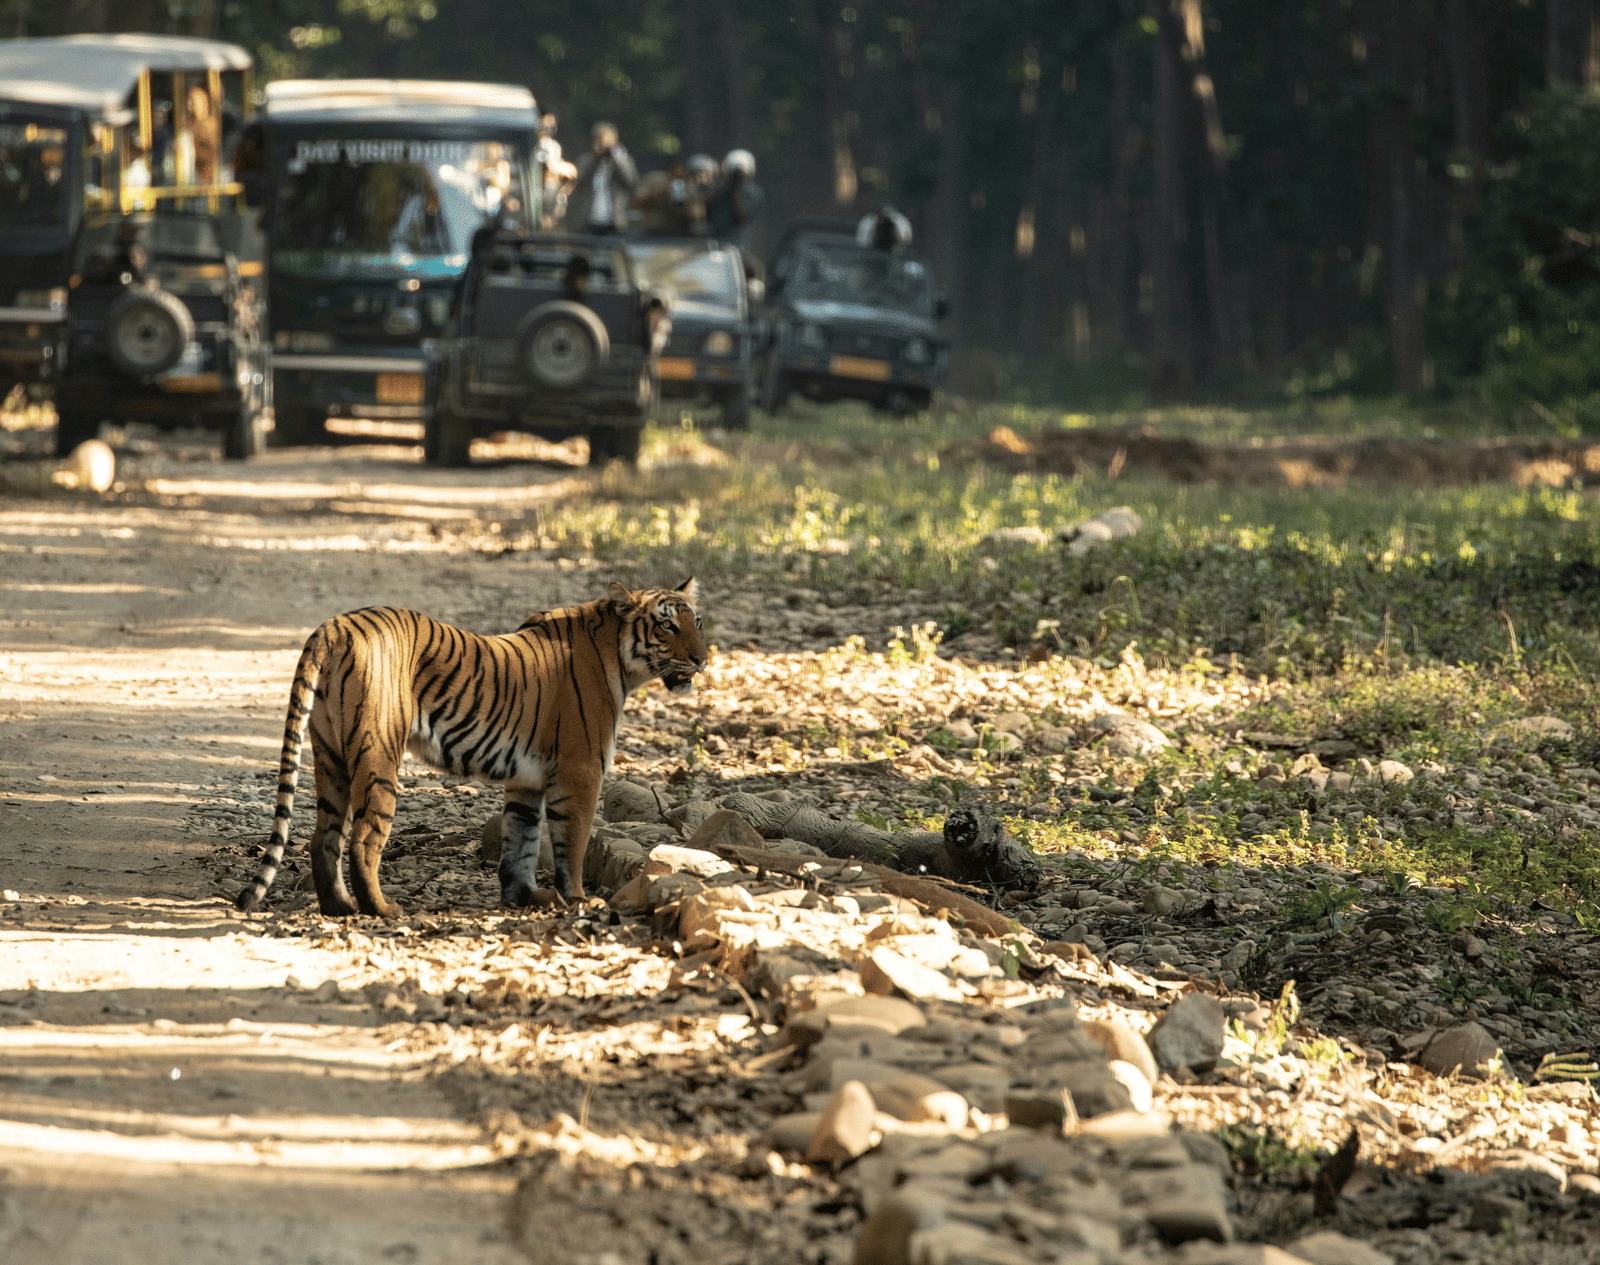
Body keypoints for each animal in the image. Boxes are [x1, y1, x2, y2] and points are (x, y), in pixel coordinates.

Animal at [234, 579, 706, 918]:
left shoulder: (527, 781)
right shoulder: (581, 771)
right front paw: (577, 900)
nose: (702, 659)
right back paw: (382, 910)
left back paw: (339, 908)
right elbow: (571, 843)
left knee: (323, 837)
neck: (619, 657)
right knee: (364, 840)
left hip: (330, 755)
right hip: (378, 754)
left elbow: (521, 841)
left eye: (696, 622)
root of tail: (333, 626)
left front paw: (525, 898)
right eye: (666, 625)